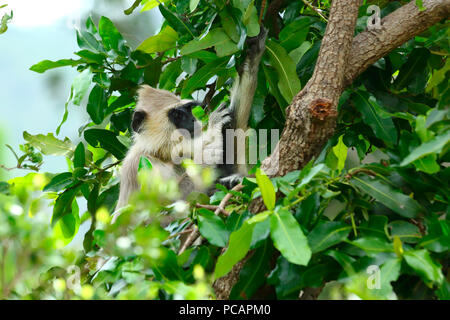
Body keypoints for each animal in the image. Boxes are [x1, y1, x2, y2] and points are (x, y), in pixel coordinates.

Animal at [116, 28, 268, 210]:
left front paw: (253, 55)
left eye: (188, 110)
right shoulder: (140, 164)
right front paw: (212, 135)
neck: (162, 155)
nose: (193, 121)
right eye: (177, 115)